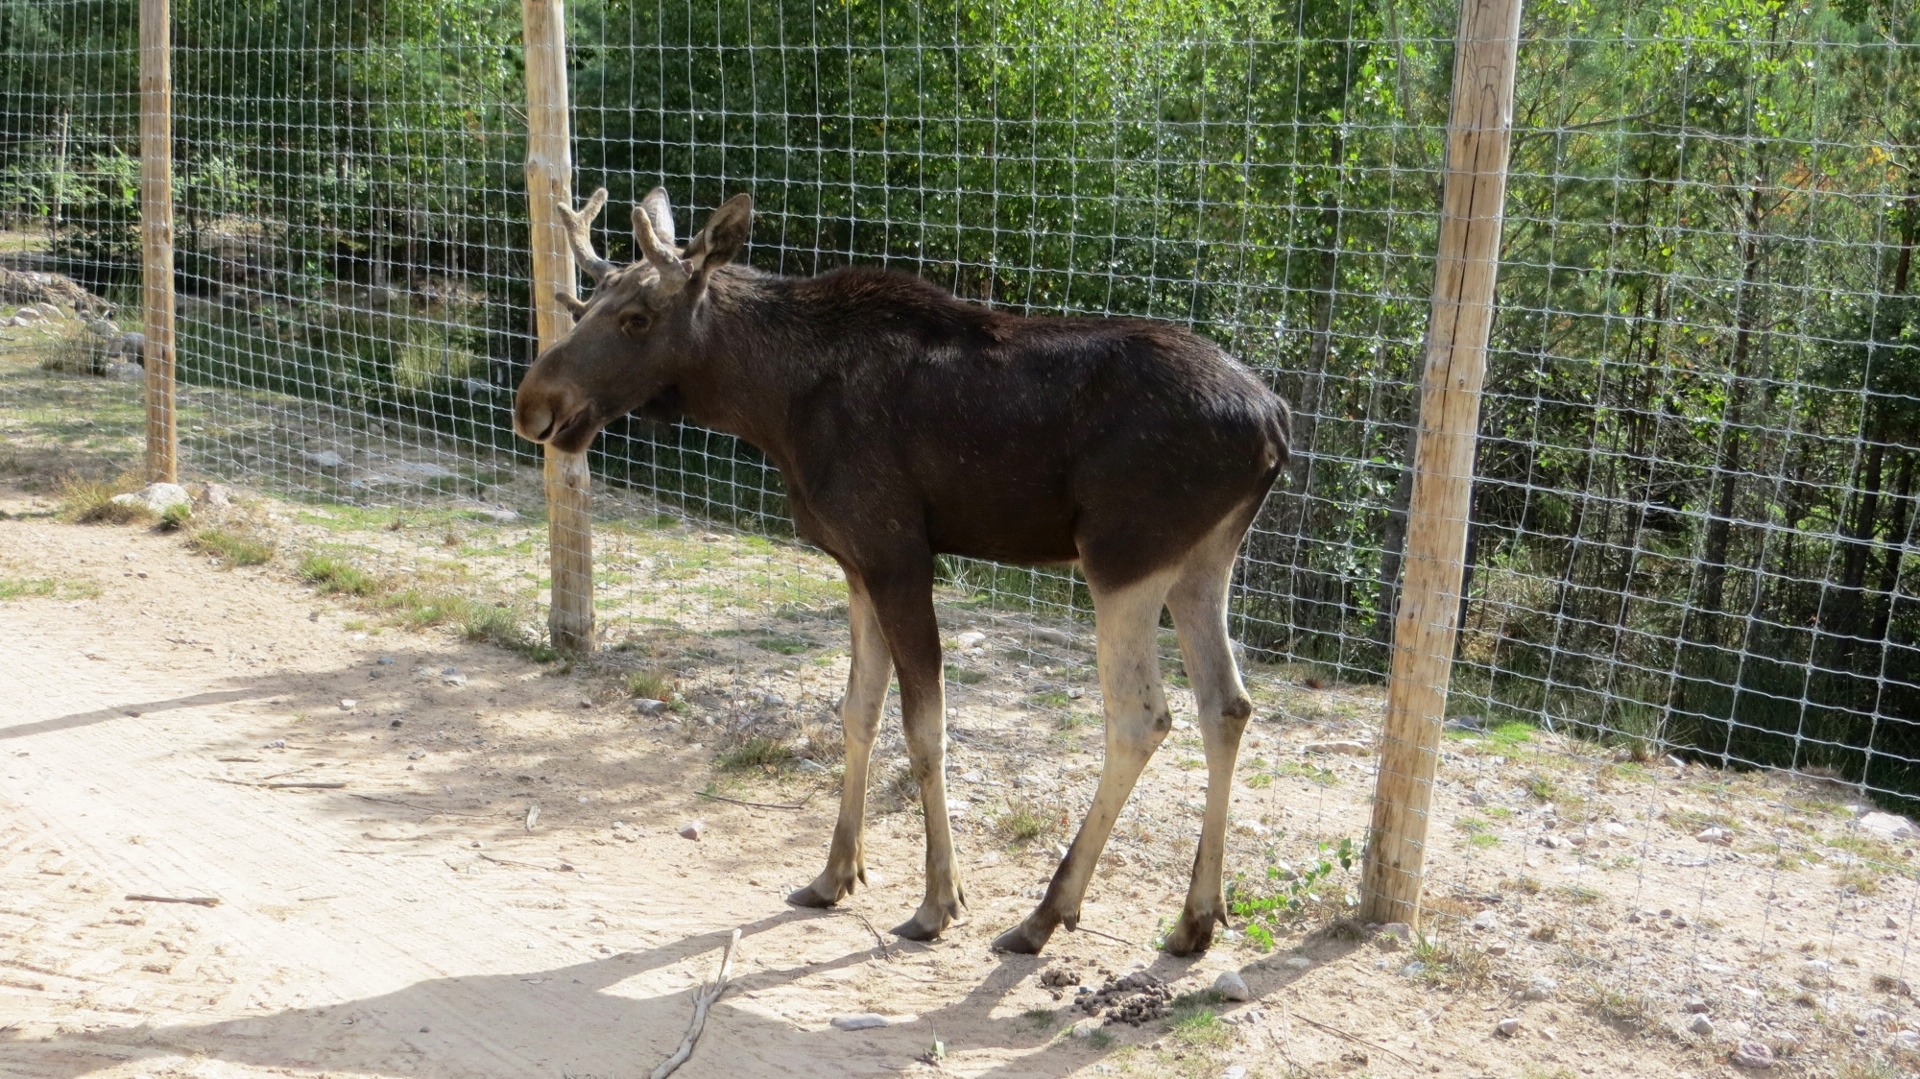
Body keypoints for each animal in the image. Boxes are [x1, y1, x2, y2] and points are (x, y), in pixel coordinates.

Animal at [514, 188, 1291, 956]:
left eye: (636, 318)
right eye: (581, 305)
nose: (533, 404)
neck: (770, 408)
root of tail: (1276, 422)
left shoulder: (899, 555)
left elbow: (925, 732)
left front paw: (939, 901)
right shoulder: (857, 562)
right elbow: (858, 710)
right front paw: (835, 873)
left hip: (1123, 557)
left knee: (1140, 716)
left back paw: (1046, 913)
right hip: (1201, 562)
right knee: (1226, 703)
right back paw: (1196, 918)